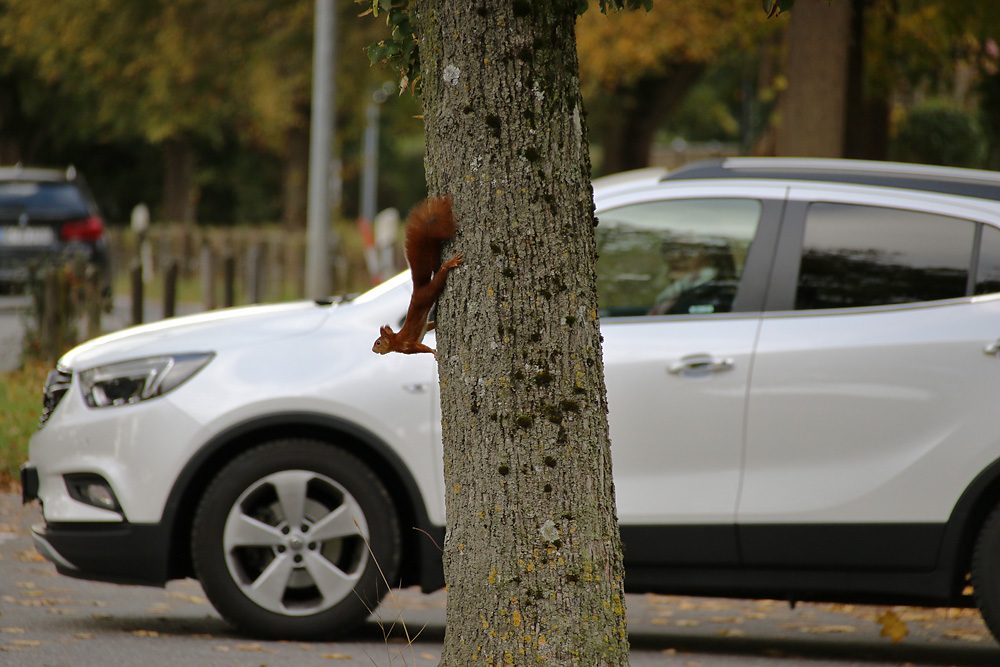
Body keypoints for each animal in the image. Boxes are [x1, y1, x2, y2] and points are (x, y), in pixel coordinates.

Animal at [370, 196, 462, 358]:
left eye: (378, 342)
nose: (372, 350)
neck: (396, 340)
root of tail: (418, 288)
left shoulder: (408, 346)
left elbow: (422, 348)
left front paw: (433, 352)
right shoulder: (424, 329)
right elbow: (429, 326)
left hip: (431, 289)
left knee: (441, 274)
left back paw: (449, 263)